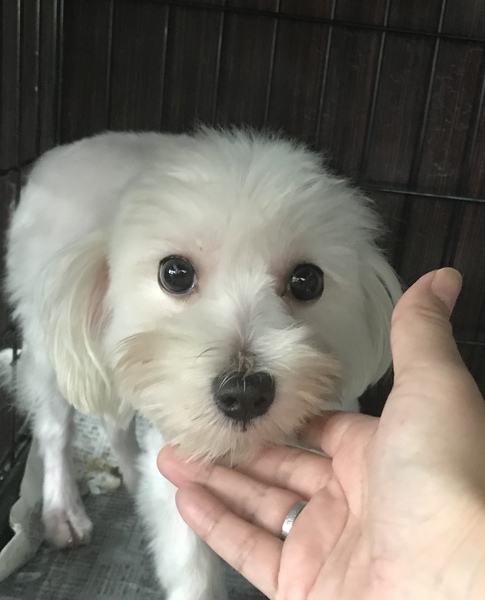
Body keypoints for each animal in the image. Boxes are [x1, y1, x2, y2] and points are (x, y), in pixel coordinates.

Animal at [4, 128, 401, 599]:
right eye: (175, 272)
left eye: (308, 280)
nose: (245, 393)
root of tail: (56, 155)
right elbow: (191, 569)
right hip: (49, 339)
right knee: (54, 429)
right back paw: (62, 509)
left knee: (114, 424)